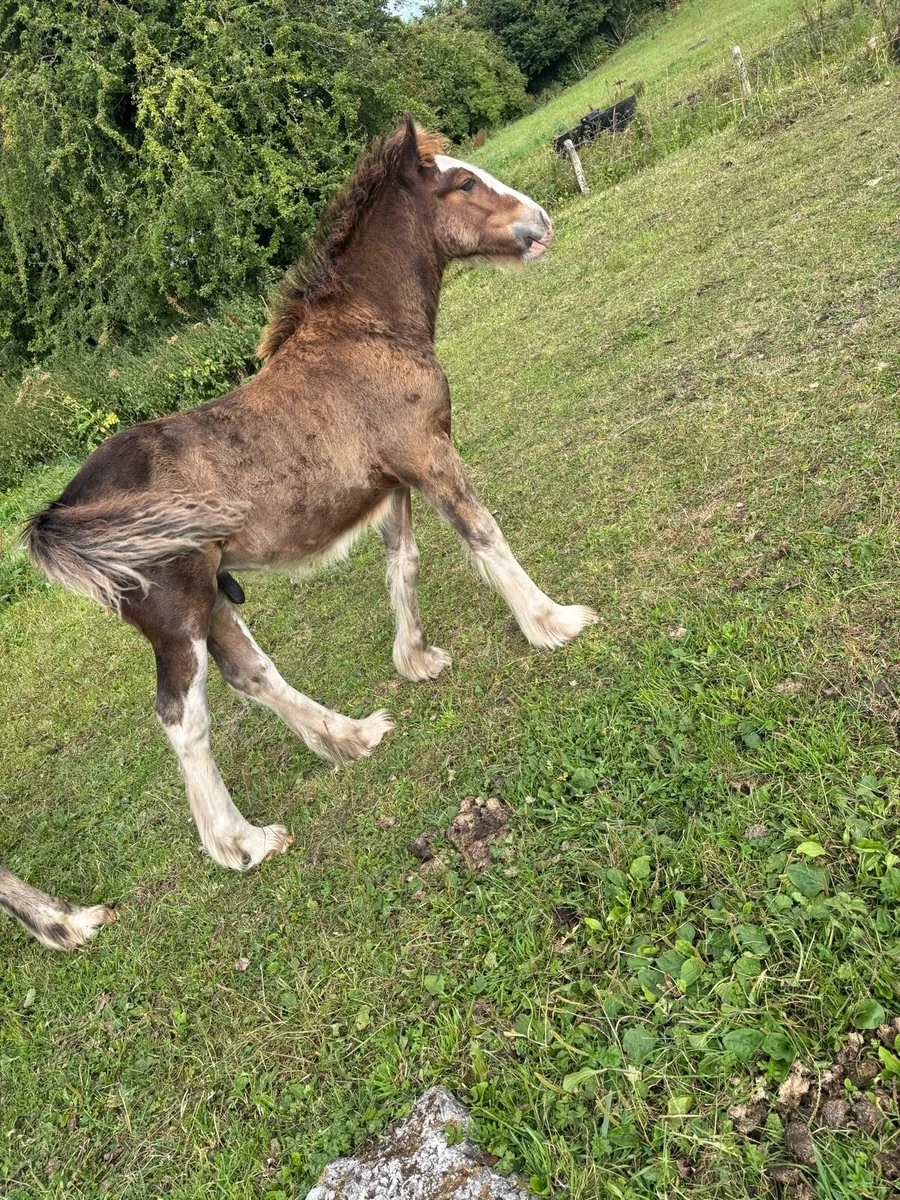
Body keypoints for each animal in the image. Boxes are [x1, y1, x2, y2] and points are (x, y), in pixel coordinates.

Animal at [2, 115, 596, 951]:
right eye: (461, 183)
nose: (538, 222)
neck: (365, 333)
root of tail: (65, 510)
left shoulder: (392, 483)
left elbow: (403, 563)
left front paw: (417, 660)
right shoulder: (429, 456)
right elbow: (485, 536)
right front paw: (552, 622)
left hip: (211, 600)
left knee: (252, 675)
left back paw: (350, 737)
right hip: (178, 616)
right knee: (183, 717)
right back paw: (235, 844)